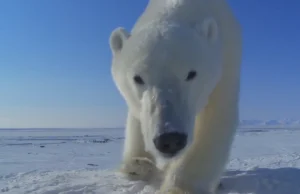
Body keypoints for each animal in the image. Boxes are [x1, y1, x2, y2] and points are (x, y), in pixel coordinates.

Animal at [108, 0, 241, 192]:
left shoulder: (226, 61)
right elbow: (138, 116)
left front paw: (180, 188)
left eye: (191, 74)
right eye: (138, 78)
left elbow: (215, 117)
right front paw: (138, 164)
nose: (170, 139)